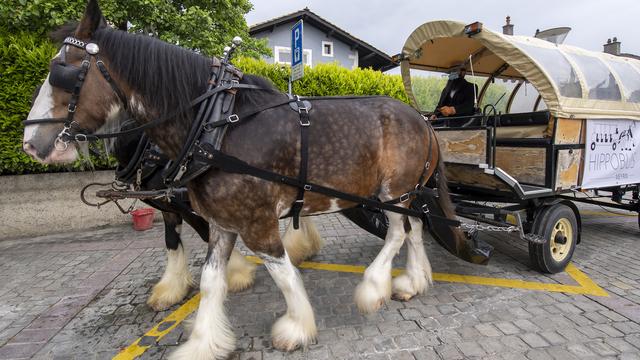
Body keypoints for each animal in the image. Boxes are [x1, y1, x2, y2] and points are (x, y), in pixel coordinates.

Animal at [22, 1, 464, 358]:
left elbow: (283, 274)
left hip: (393, 192)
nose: (31, 143)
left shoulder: (257, 222)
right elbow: (209, 282)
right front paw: (202, 342)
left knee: (397, 233)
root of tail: (421, 119)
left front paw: (296, 327)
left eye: (64, 71)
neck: (216, 128)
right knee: (416, 228)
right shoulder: (221, 222)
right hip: (406, 194)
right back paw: (413, 281)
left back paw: (374, 288)